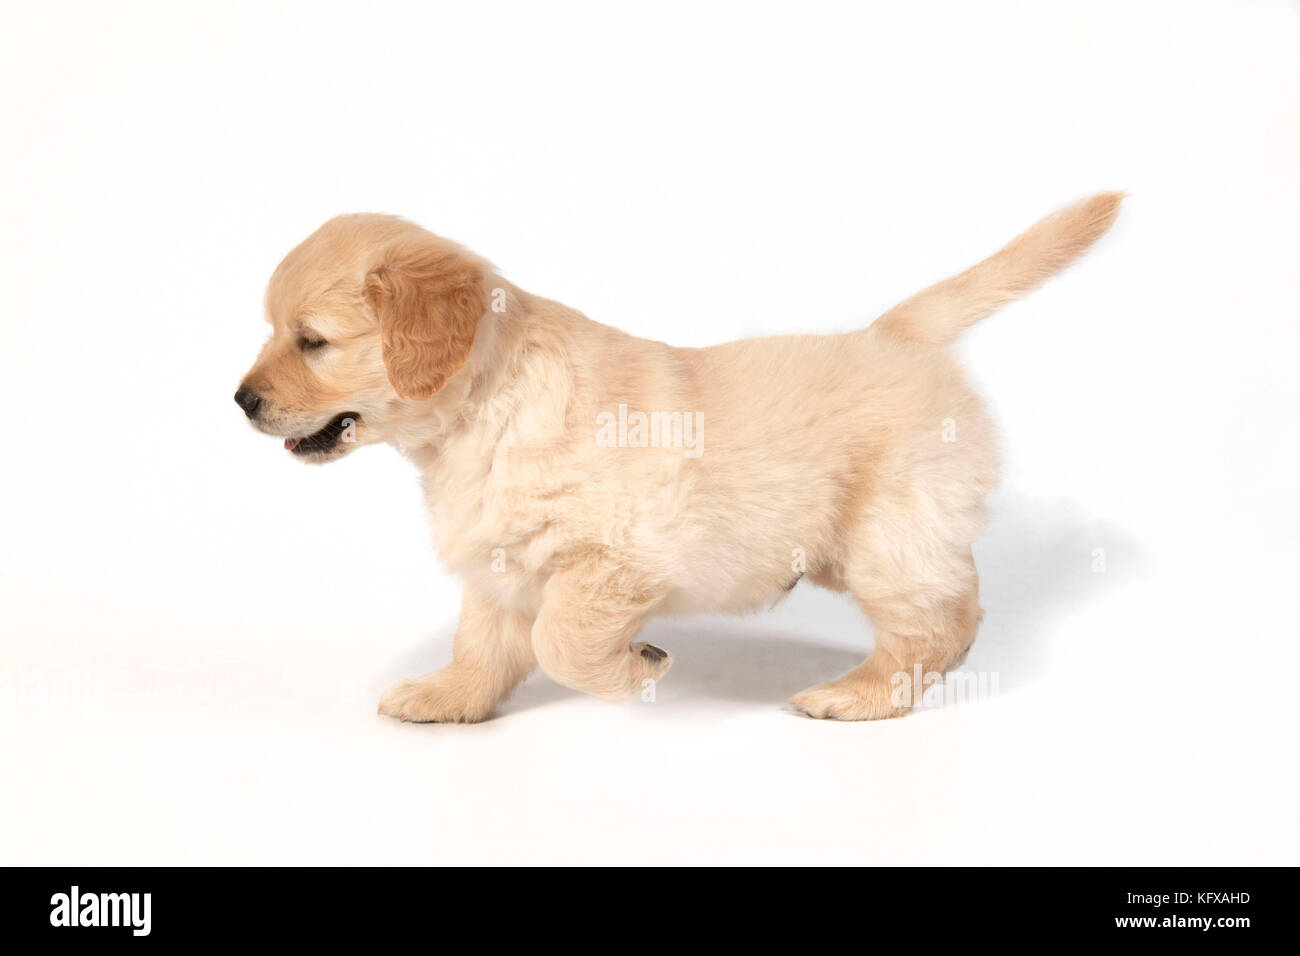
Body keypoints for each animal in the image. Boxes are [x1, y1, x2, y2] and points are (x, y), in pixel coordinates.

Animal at [239, 192, 1123, 717]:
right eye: (276, 329)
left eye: (312, 341)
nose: (240, 400)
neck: (483, 411)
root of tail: (894, 334)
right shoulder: (500, 558)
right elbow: (482, 640)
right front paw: (448, 697)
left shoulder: (617, 561)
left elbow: (561, 642)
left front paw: (637, 669)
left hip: (886, 538)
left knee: (940, 621)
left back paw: (855, 695)